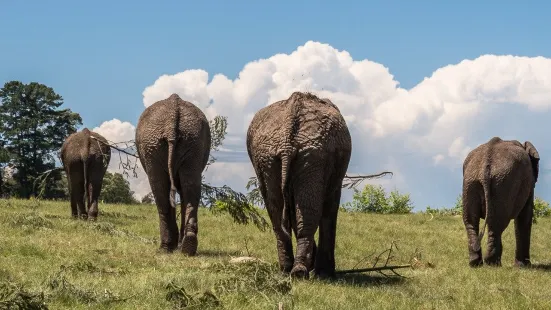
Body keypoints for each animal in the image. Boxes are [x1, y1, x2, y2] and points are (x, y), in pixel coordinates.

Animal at [135, 93, 211, 256]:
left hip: (153, 144)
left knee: (159, 189)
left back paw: (166, 248)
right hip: (192, 140)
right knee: (191, 187)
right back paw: (187, 246)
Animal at [247, 90, 352, 278]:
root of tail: (287, 140)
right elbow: (330, 206)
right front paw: (324, 273)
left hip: (266, 157)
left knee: (276, 210)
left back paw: (287, 270)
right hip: (313, 155)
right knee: (306, 210)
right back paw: (300, 272)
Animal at [464, 137, 540, 268]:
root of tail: (485, 166)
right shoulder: (529, 182)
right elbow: (525, 216)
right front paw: (523, 266)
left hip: (471, 182)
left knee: (471, 222)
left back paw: (476, 263)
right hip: (503, 184)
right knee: (497, 223)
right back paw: (493, 264)